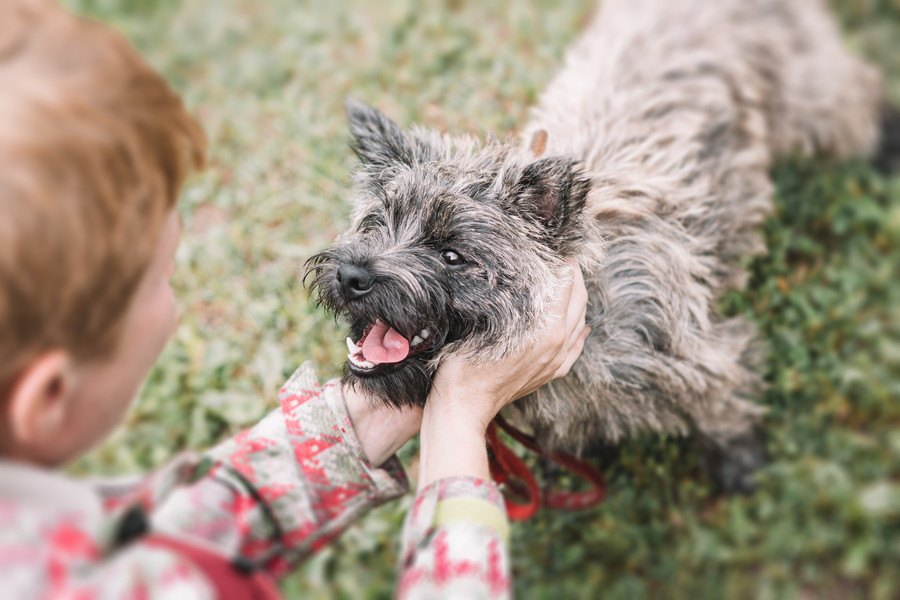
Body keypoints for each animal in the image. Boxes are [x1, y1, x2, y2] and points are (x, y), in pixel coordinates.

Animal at [306, 0, 888, 492]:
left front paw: (740, 466)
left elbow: (724, 407)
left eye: (453, 254)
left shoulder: (698, 355)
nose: (351, 276)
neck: (589, 316)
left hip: (814, 94)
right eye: (377, 223)